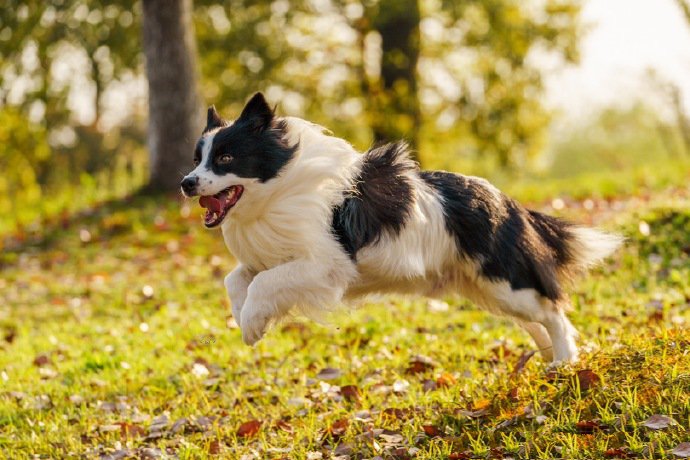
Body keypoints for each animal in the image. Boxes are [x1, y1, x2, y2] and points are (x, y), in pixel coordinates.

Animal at [180, 92, 620, 362]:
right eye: (198, 159)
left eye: (226, 157)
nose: (186, 183)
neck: (279, 186)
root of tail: (508, 203)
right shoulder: (270, 253)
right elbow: (237, 279)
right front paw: (245, 316)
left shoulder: (325, 265)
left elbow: (264, 283)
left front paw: (253, 325)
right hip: (485, 290)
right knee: (536, 319)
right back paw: (546, 357)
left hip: (503, 282)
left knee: (554, 312)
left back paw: (564, 362)